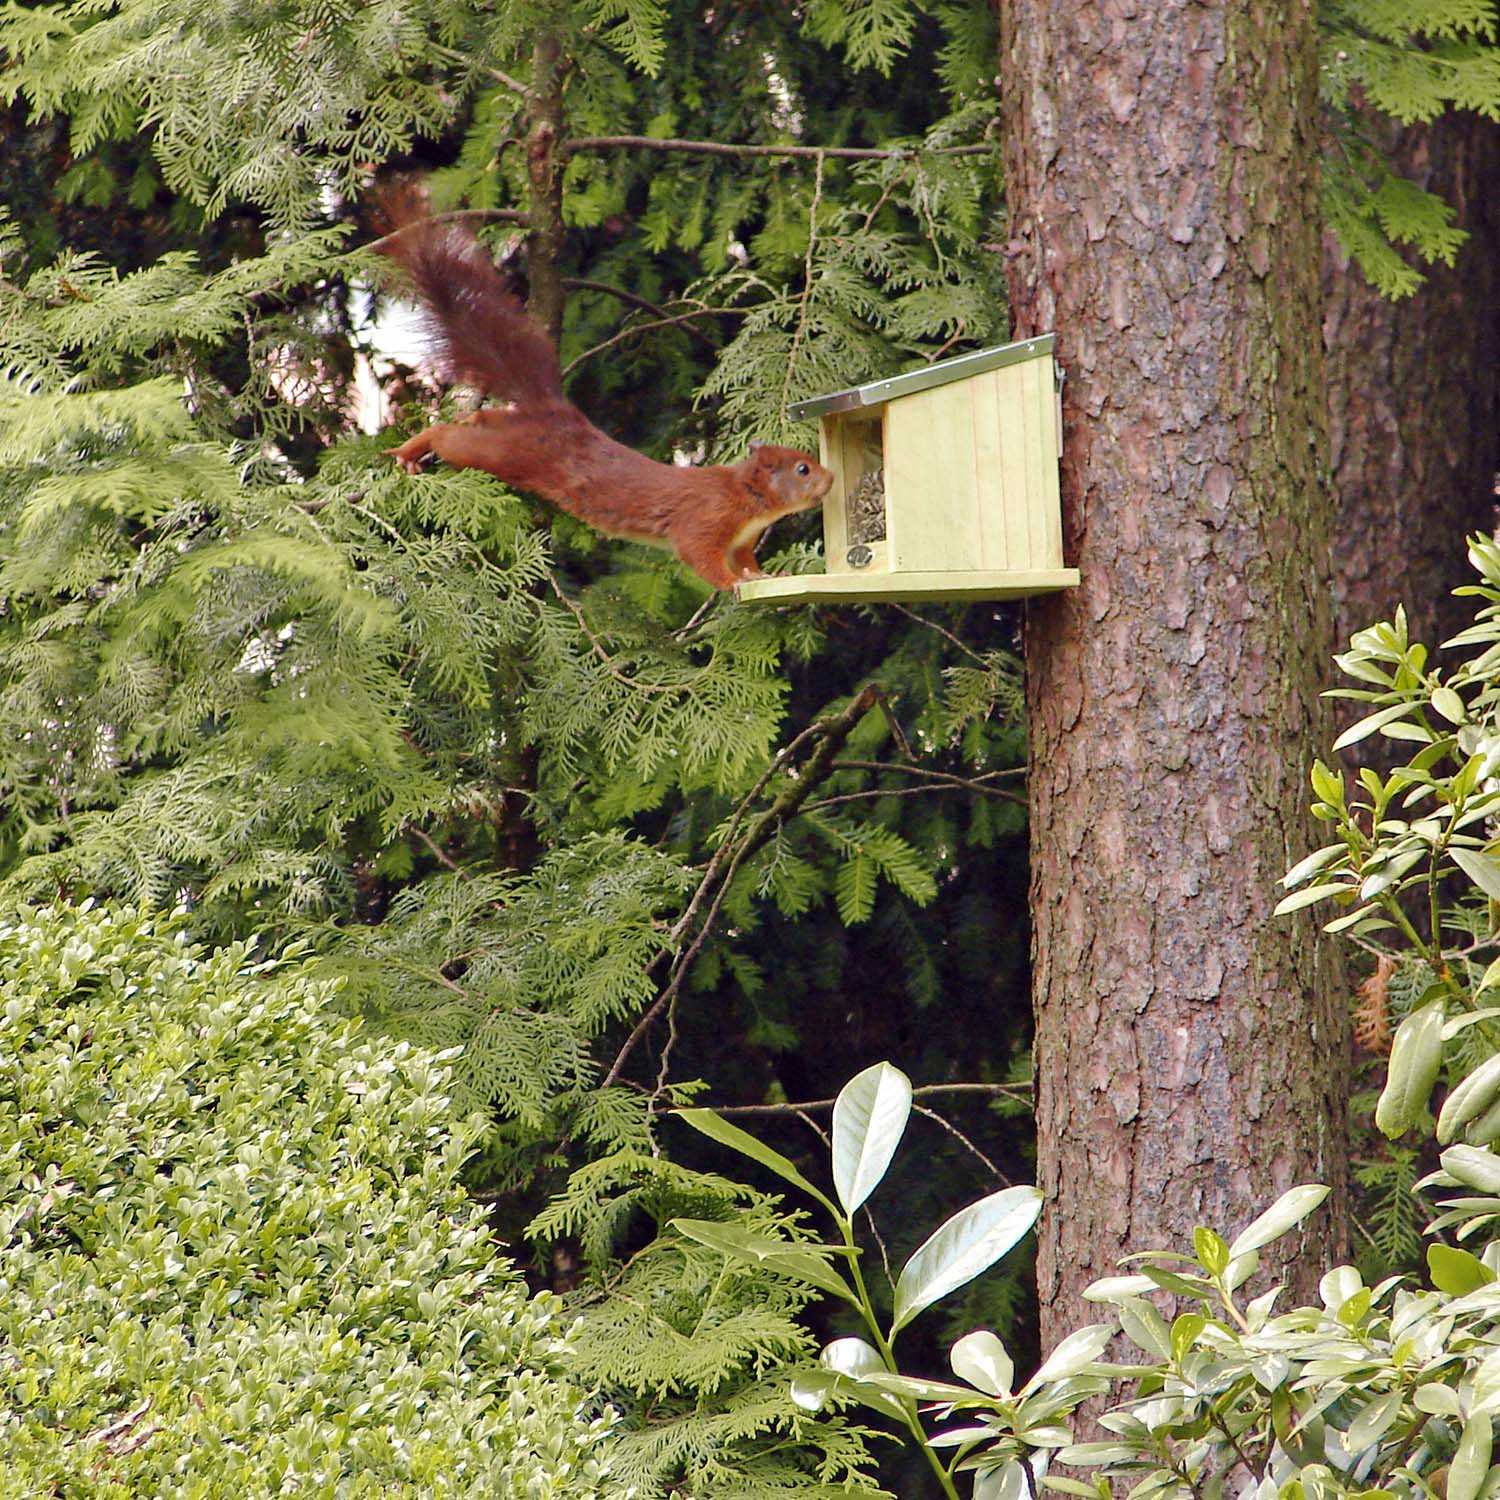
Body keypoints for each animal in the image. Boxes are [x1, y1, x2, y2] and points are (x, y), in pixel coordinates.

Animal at [375, 198, 834, 591]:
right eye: (803, 469)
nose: (830, 479)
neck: (748, 496)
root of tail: (554, 411)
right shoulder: (706, 520)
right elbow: (700, 555)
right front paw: (733, 583)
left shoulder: (741, 541)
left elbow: (747, 562)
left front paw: (765, 577)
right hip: (504, 452)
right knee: (449, 439)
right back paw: (411, 450)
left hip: (502, 432)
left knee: (476, 422)